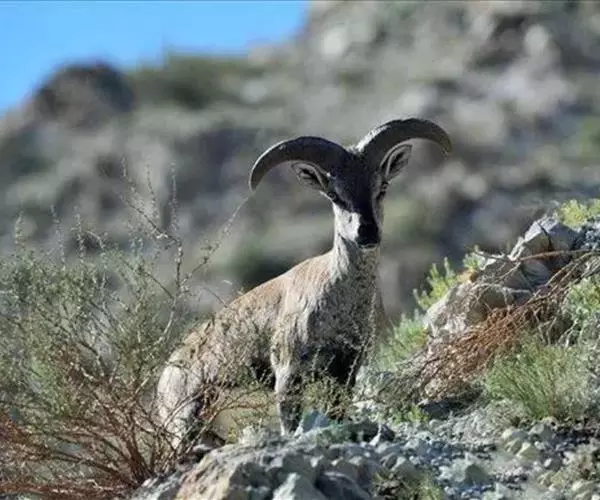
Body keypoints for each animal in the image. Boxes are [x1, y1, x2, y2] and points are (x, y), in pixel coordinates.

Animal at [156, 118, 452, 448]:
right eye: (334, 195)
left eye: (382, 187)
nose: (366, 233)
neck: (337, 299)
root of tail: (162, 381)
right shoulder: (288, 374)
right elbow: (290, 423)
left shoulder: (345, 371)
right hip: (185, 421)